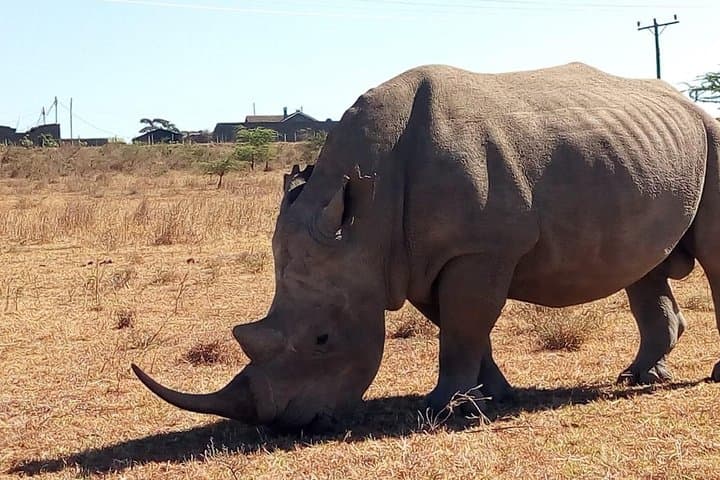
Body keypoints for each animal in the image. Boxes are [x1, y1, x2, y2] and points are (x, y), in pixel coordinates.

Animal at [133, 63, 720, 429]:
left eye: (322, 339)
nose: (288, 424)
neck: (363, 218)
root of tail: (686, 103)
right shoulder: (412, 259)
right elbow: (460, 327)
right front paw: (489, 396)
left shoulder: (478, 249)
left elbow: (461, 327)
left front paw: (441, 409)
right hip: (646, 154)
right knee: (644, 267)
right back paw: (640, 377)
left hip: (713, 136)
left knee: (712, 257)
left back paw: (701, 377)